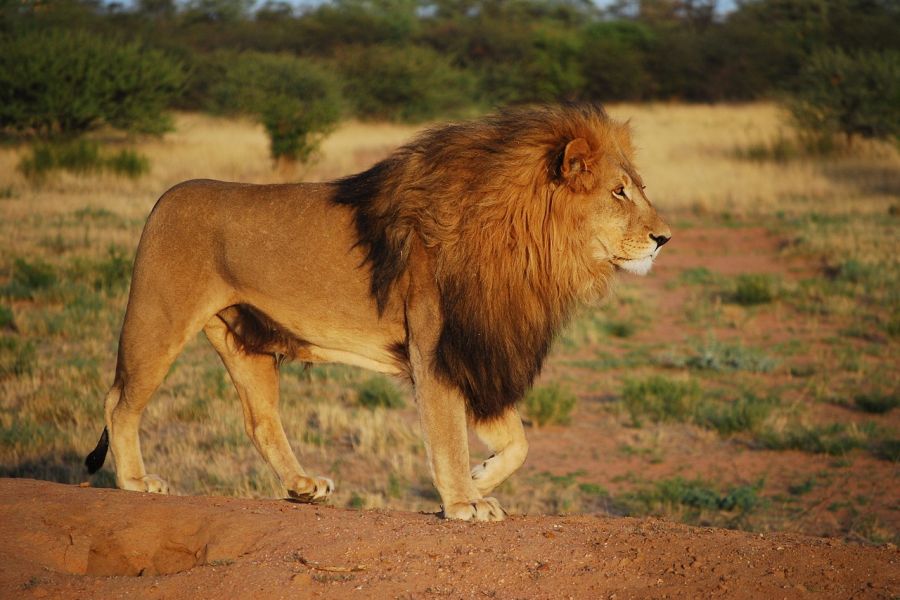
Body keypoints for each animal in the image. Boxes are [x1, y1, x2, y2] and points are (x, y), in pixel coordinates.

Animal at [86, 103, 668, 520]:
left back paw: (302, 487)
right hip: (158, 319)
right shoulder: (438, 349)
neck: (529, 247)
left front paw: (480, 478)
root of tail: (165, 197)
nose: (664, 238)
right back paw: (135, 481)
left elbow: (519, 441)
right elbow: (448, 434)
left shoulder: (476, 350)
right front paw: (463, 501)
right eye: (618, 193)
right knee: (119, 401)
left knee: (260, 421)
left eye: (639, 189)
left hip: (244, 340)